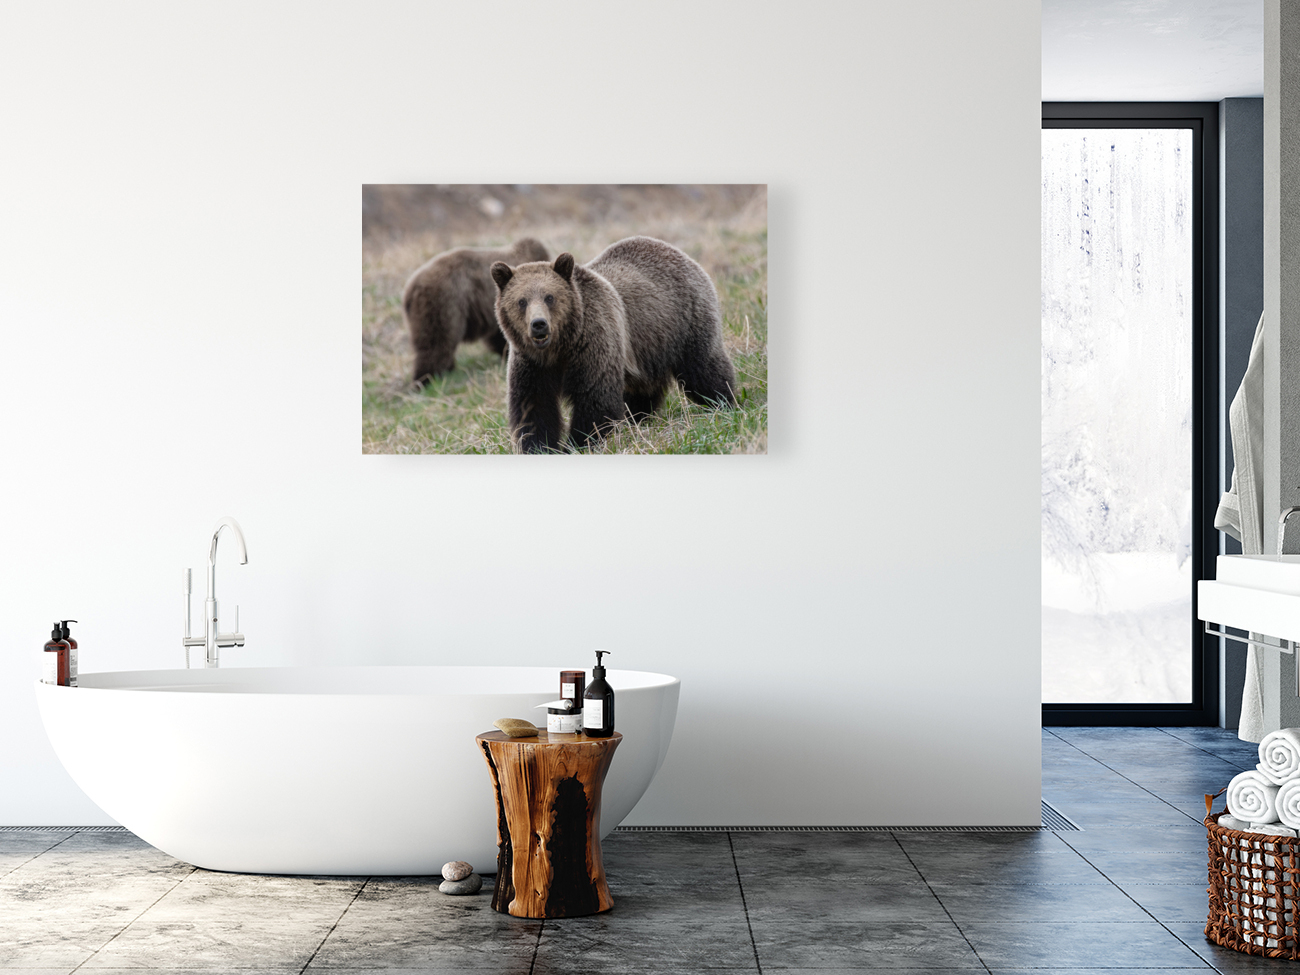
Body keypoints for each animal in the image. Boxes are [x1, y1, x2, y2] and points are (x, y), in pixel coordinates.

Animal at [490, 236, 737, 453]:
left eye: (550, 297)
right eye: (521, 301)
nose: (539, 324)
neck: (559, 348)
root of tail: (676, 251)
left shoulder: (594, 343)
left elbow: (596, 400)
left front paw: (578, 445)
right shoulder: (531, 363)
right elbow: (534, 406)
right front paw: (539, 447)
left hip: (685, 322)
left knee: (703, 369)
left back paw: (724, 403)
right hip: (648, 348)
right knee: (642, 390)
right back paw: (638, 419)